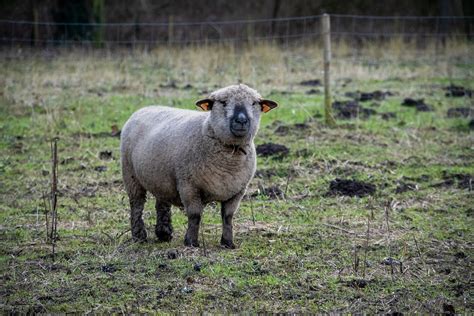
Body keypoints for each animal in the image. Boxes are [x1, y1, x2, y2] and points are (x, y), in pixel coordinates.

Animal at [120, 85, 278, 248]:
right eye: (223, 102)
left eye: (254, 103)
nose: (241, 120)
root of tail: (144, 108)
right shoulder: (189, 186)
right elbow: (195, 215)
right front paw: (191, 242)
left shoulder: (237, 191)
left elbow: (228, 217)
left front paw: (228, 243)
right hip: (130, 175)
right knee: (137, 205)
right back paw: (139, 236)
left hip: (161, 177)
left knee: (162, 203)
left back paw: (164, 233)